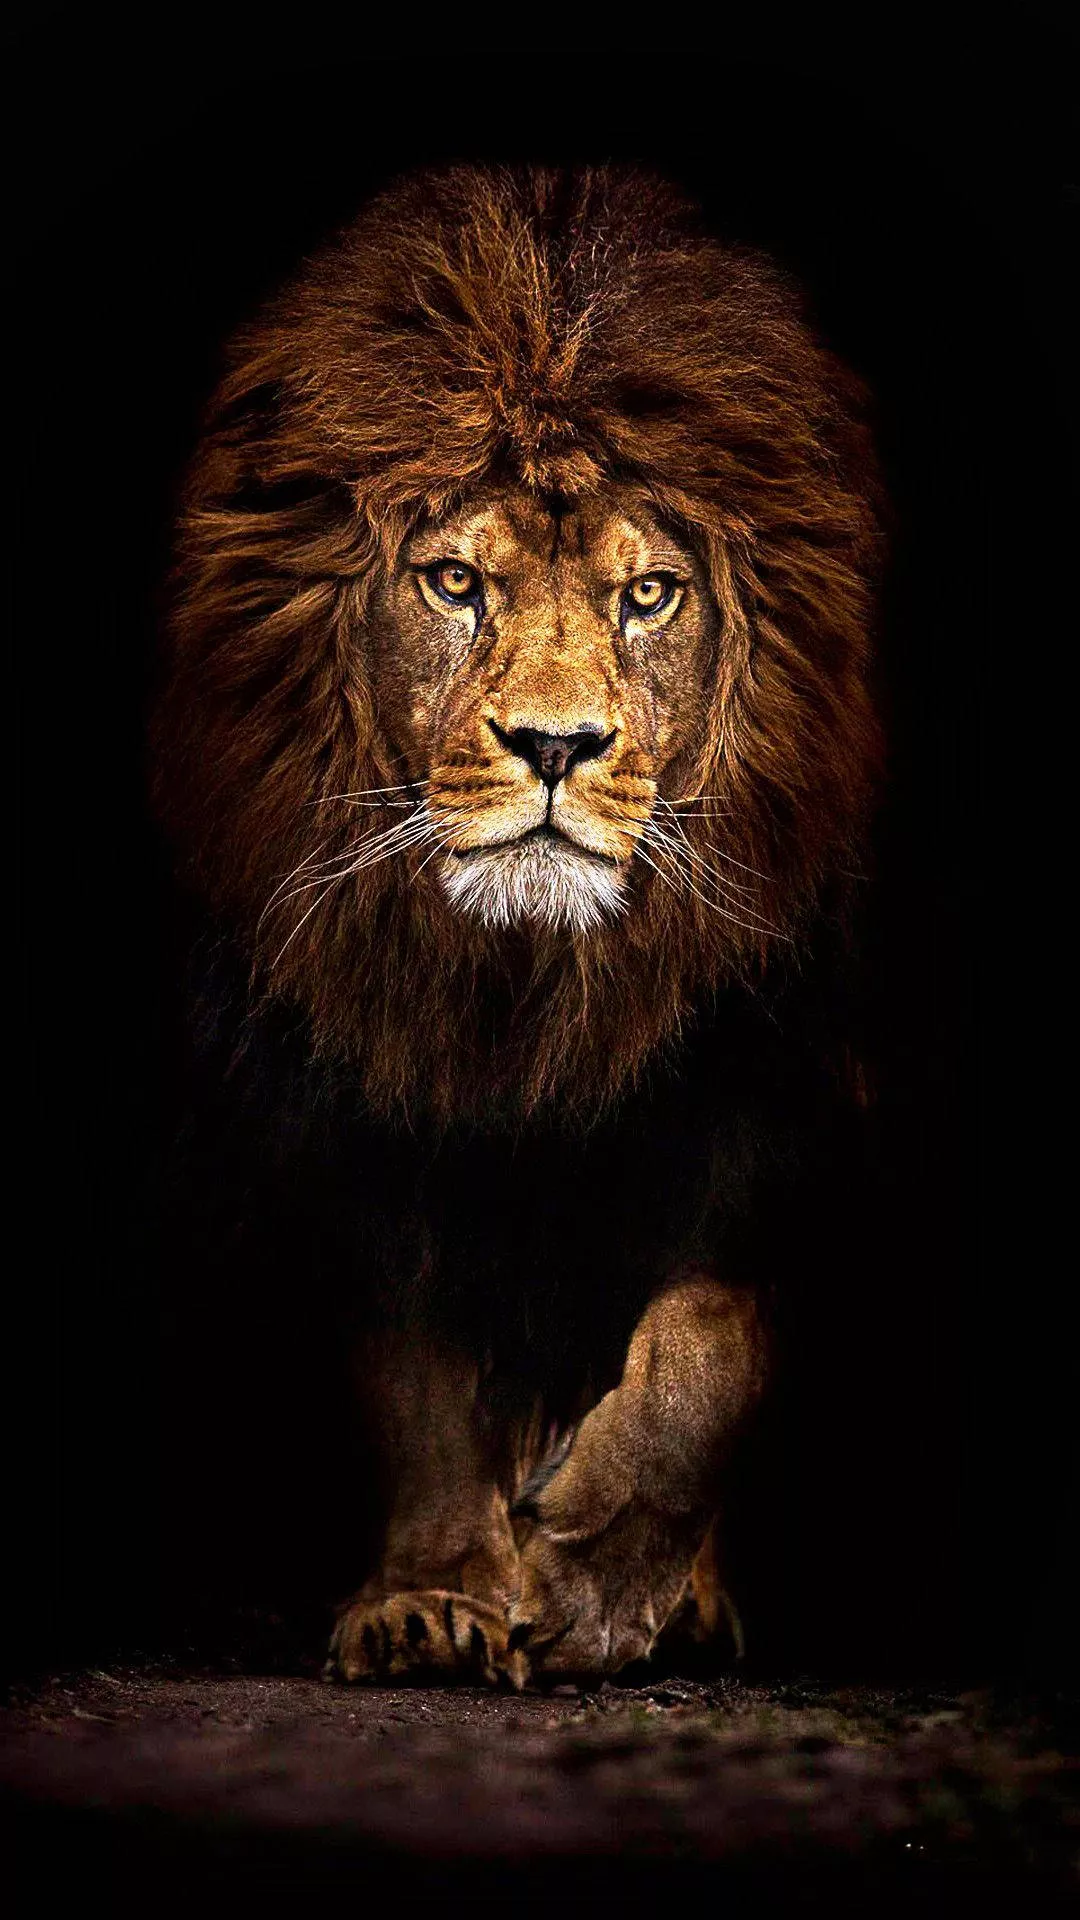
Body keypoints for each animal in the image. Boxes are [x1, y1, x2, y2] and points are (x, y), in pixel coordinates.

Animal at [155, 165, 881, 1685]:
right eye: (454, 582)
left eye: (648, 594)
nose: (555, 745)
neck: (526, 989)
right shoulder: (357, 1097)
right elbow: (416, 1368)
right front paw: (436, 1596)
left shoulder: (782, 1083)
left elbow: (711, 1337)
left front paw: (599, 1582)